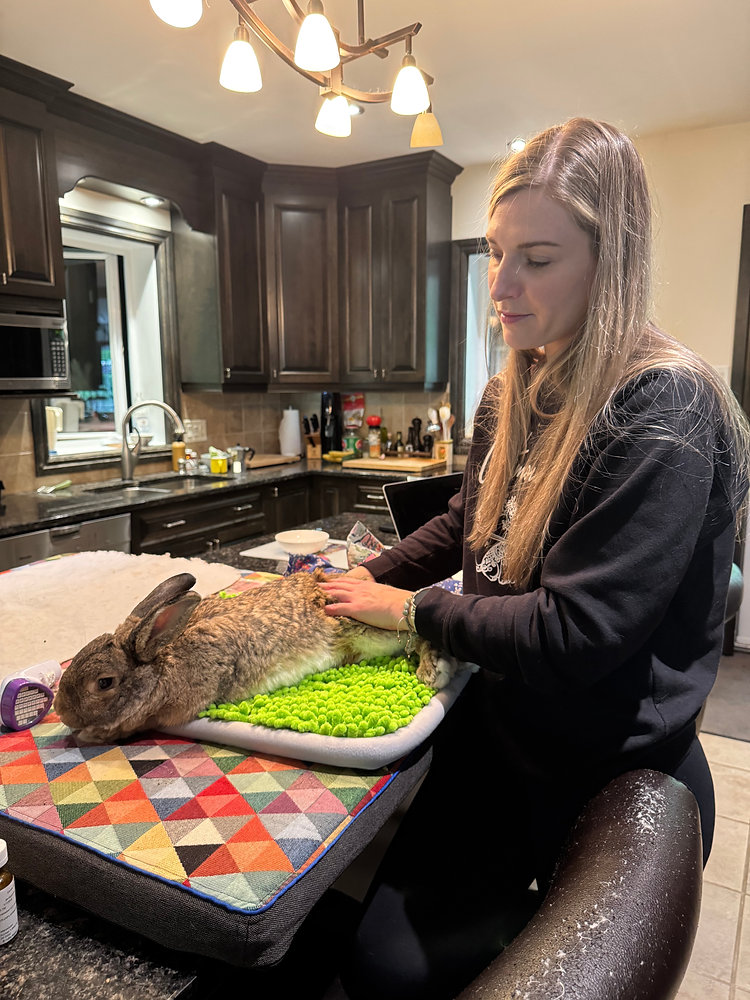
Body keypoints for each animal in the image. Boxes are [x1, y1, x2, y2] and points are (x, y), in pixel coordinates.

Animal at [53, 569, 455, 743]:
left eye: (104, 683)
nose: (62, 712)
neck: (162, 662)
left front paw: (90, 735)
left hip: (368, 628)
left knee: (419, 634)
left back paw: (431, 671)